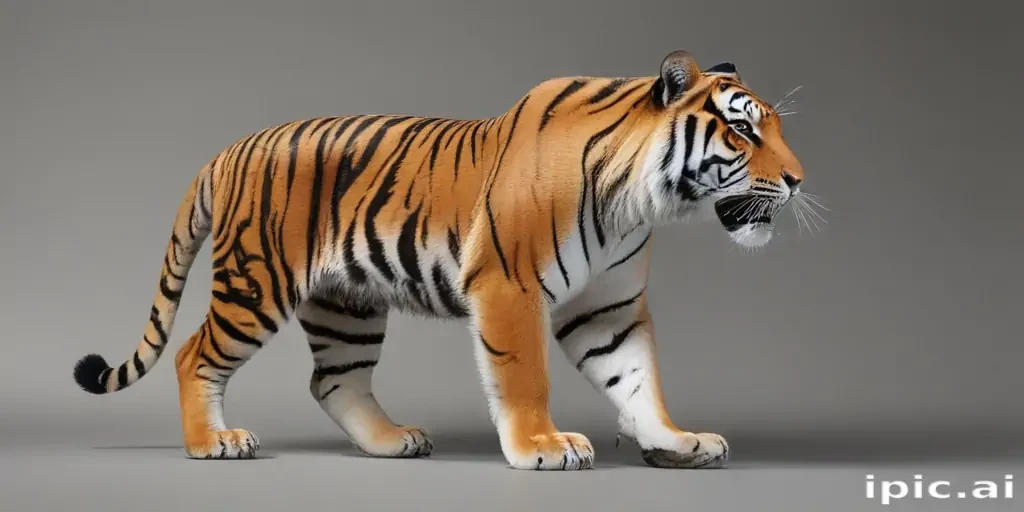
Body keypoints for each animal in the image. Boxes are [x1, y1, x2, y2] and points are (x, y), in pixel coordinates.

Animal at [72, 49, 805, 470]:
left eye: (774, 126)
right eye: (743, 129)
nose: (799, 180)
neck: (638, 200)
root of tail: (226, 152)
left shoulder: (608, 309)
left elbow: (637, 378)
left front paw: (678, 442)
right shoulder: (510, 288)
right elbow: (524, 377)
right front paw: (544, 447)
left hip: (346, 305)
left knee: (333, 381)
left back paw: (392, 440)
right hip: (258, 282)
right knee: (193, 354)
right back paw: (214, 443)